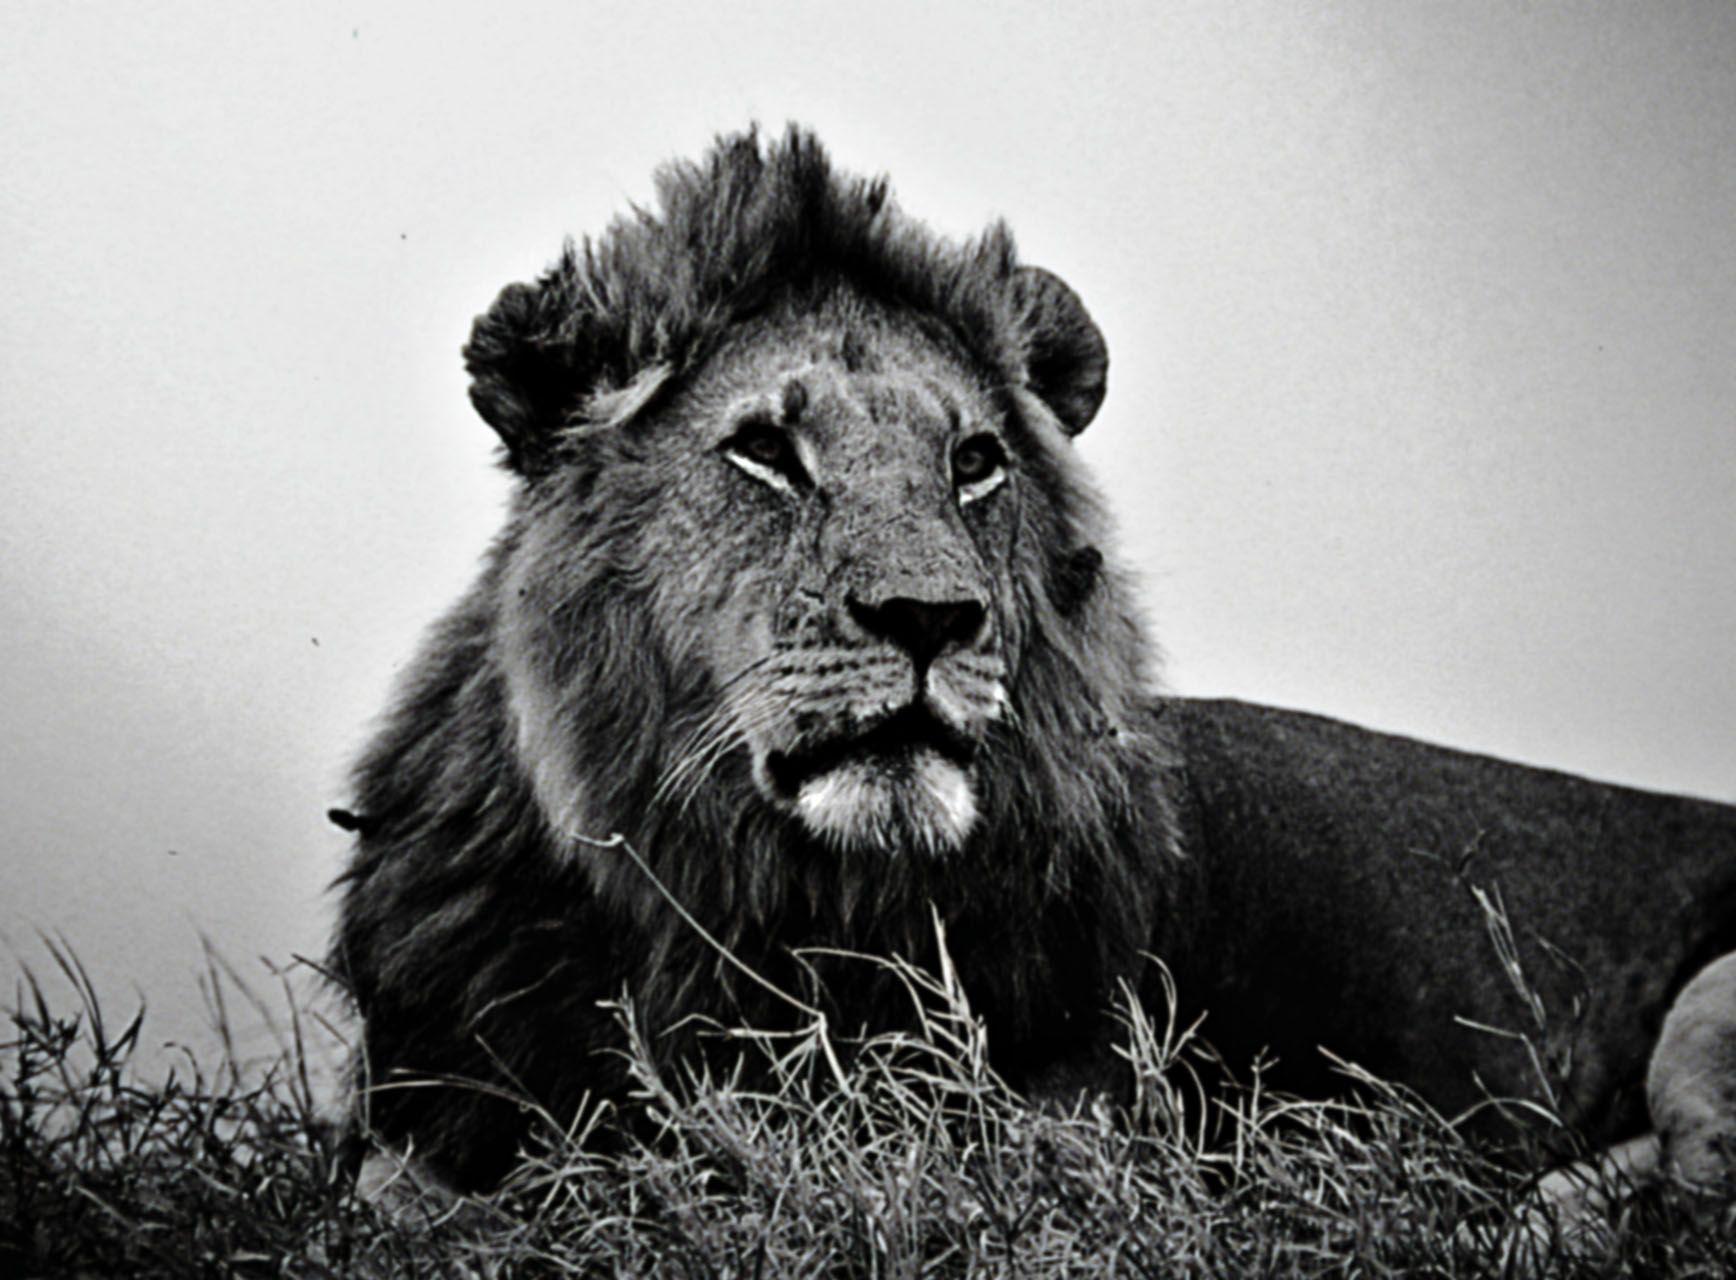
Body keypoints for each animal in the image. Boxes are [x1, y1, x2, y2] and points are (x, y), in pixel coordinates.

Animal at [332, 126, 1736, 1207]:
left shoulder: (1081, 1118)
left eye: (972, 462)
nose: (928, 617)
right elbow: (414, 1192)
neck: (768, 903)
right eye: (764, 452)